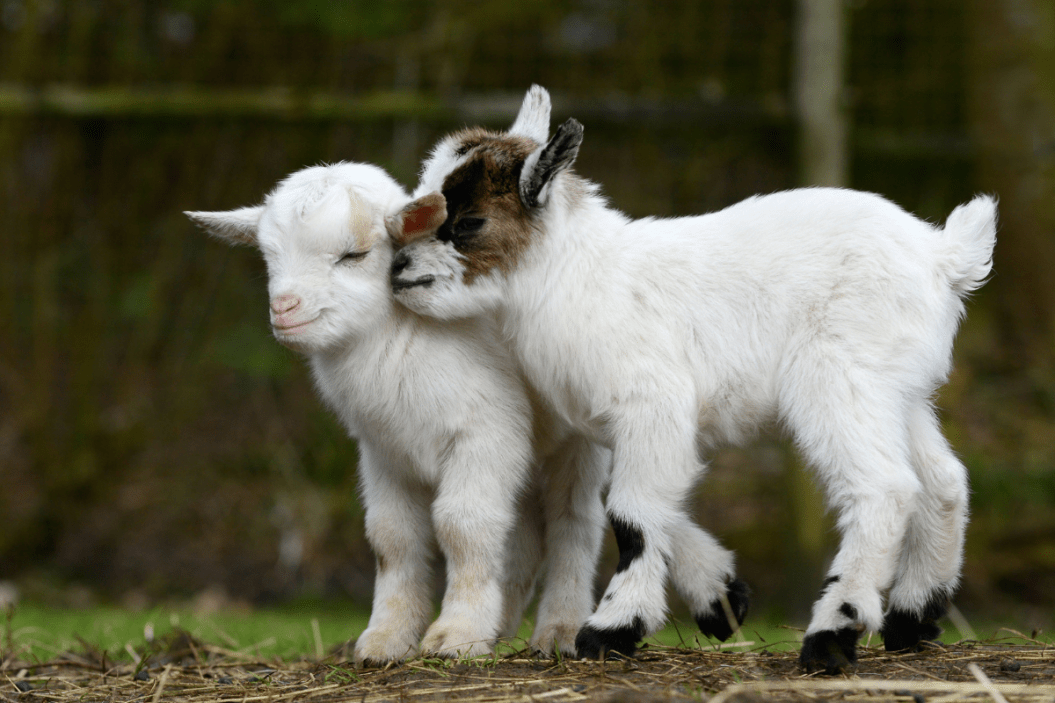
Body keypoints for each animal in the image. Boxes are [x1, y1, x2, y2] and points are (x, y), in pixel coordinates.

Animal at [185, 162, 610, 663]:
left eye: (354, 254)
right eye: (269, 257)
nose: (284, 309)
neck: (405, 338)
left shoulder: (485, 433)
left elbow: (462, 526)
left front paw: (456, 633)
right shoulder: (383, 449)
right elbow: (392, 537)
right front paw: (389, 637)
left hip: (577, 437)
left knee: (573, 522)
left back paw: (560, 629)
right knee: (522, 529)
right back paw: (502, 628)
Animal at [388, 86, 996, 673]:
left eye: (469, 222)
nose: (397, 270)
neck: (581, 278)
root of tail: (943, 257)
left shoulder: (653, 402)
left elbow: (632, 515)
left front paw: (611, 631)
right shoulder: (635, 428)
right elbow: (659, 502)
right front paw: (722, 599)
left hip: (839, 376)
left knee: (885, 486)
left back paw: (831, 636)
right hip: (896, 389)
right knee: (942, 481)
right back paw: (912, 619)